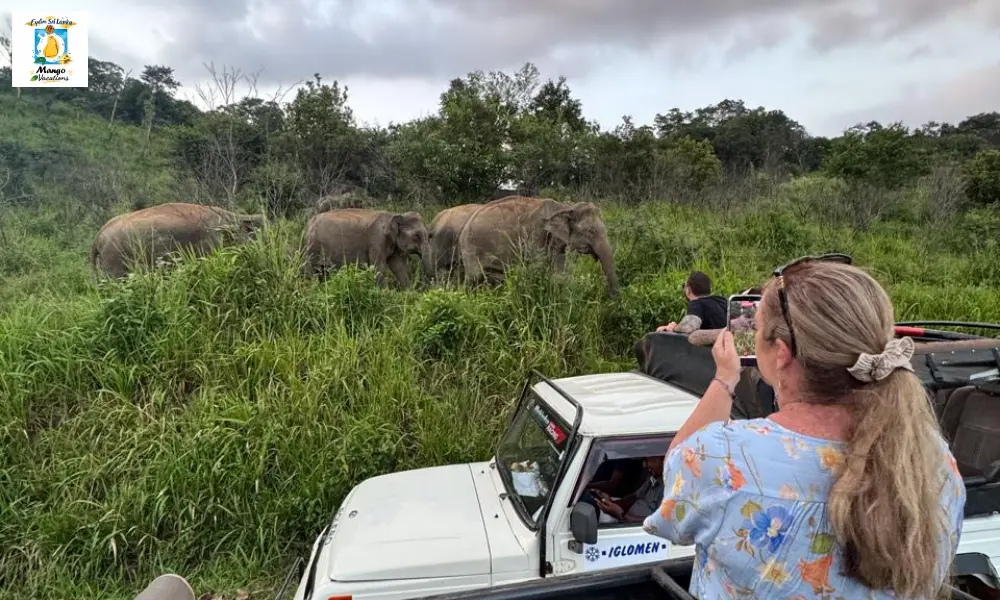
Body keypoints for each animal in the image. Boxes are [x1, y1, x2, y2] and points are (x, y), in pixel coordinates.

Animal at [302, 208, 432, 288]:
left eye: (429, 235)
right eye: (416, 236)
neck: (395, 214)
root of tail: (309, 223)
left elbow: (398, 266)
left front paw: (409, 292)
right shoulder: (376, 240)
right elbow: (378, 266)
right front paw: (386, 293)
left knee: (322, 271)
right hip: (313, 247)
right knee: (312, 269)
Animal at [457, 195, 619, 296]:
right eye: (590, 231)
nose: (613, 299)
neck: (564, 207)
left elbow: (560, 272)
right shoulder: (536, 233)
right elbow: (537, 267)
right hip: (470, 248)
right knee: (474, 277)